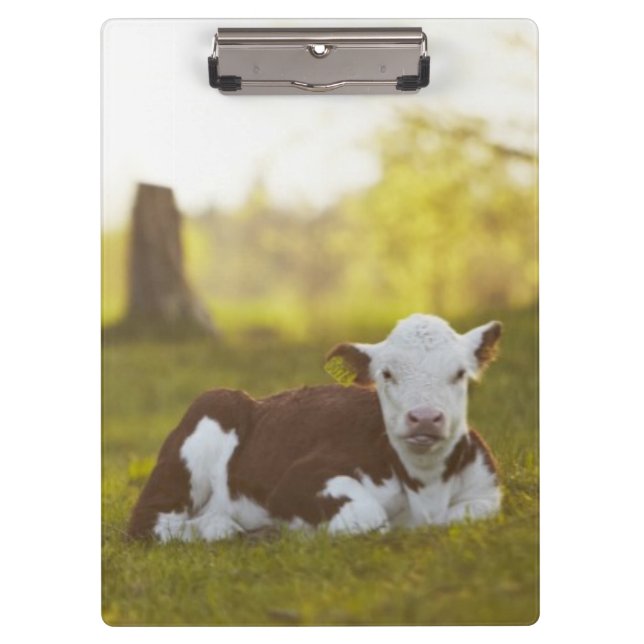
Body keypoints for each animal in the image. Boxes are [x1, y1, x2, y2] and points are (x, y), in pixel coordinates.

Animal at [127, 313, 502, 541]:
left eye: (460, 373)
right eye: (386, 374)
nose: (424, 417)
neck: (426, 489)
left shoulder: (487, 492)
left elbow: (470, 514)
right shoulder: (297, 480)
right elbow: (368, 517)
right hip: (204, 425)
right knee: (151, 523)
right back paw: (225, 527)